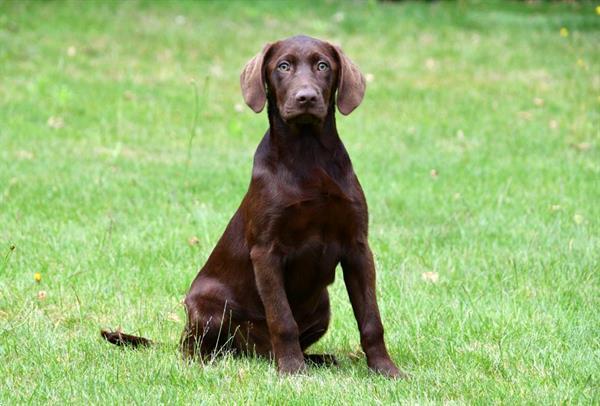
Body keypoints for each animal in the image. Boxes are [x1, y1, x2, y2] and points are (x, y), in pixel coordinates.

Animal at [102, 34, 404, 378]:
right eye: (283, 66)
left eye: (323, 66)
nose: (306, 97)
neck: (307, 152)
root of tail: (253, 351)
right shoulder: (266, 250)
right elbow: (282, 319)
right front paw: (292, 371)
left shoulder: (357, 247)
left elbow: (371, 318)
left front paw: (385, 369)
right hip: (205, 306)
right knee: (195, 348)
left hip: (322, 307)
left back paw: (317, 359)